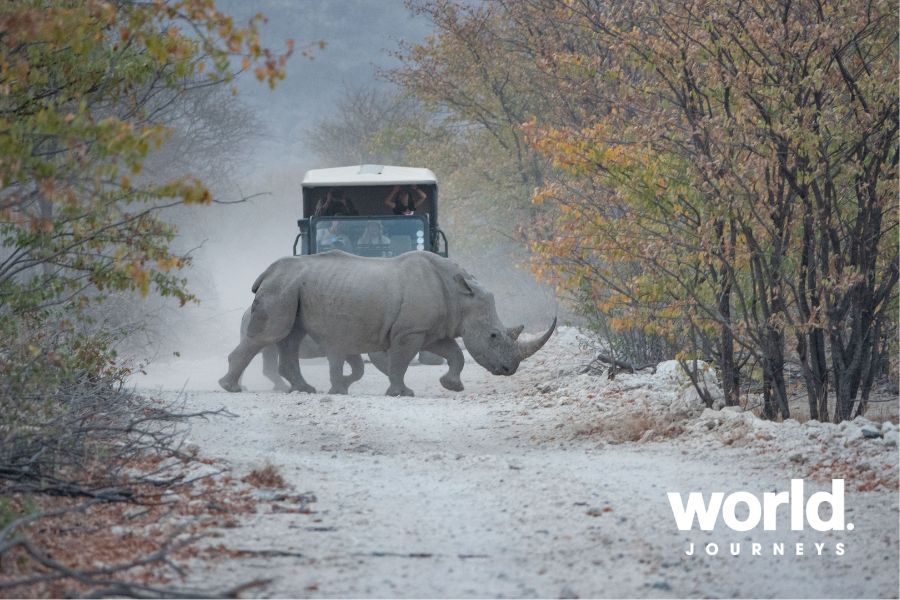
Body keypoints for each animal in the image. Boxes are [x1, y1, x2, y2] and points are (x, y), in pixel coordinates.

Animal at [218, 251, 556, 397]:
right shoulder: (410, 331)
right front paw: (401, 393)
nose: (509, 369)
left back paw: (305, 389)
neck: (462, 295)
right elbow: (400, 362)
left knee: (290, 337)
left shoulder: (431, 330)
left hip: (292, 288)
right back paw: (231, 388)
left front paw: (452, 386)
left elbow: (454, 354)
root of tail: (267, 271)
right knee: (270, 336)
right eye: (494, 335)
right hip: (282, 287)